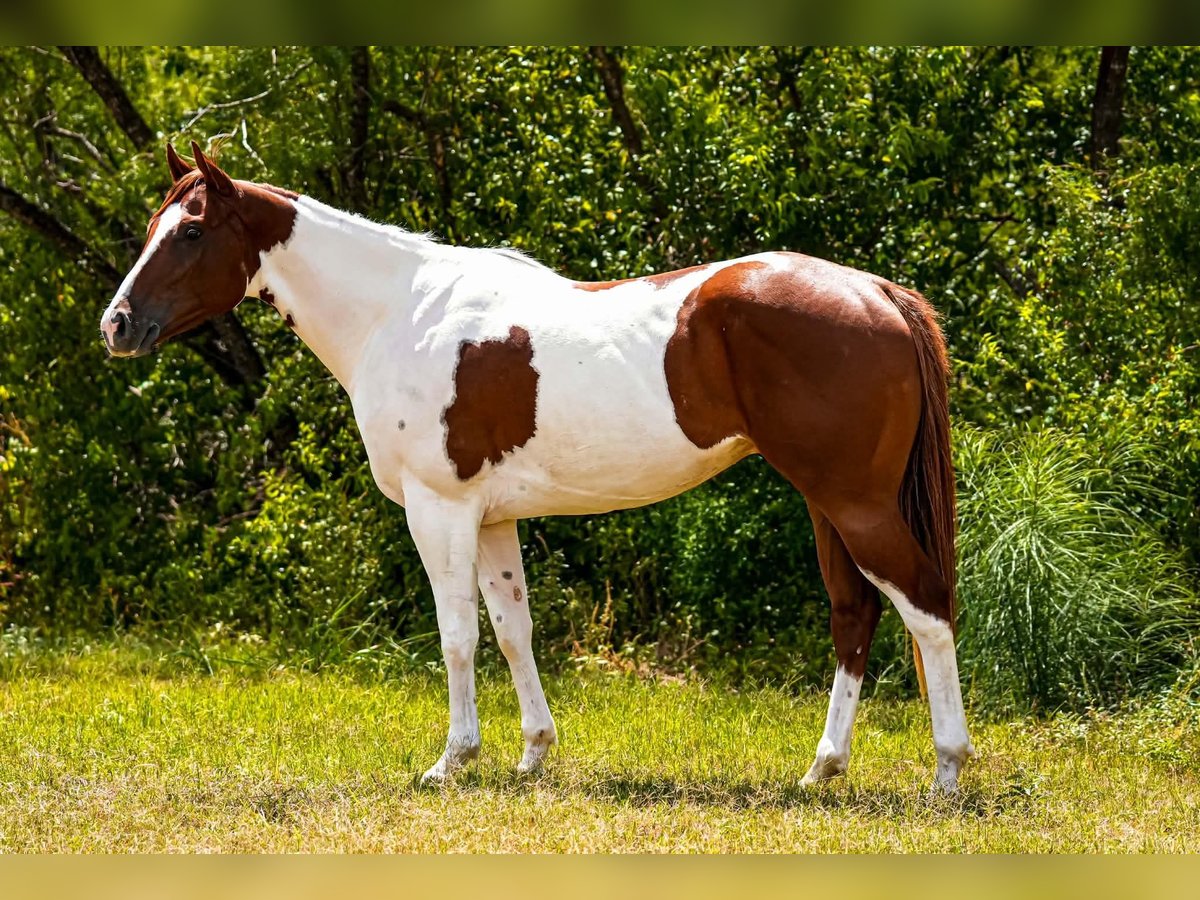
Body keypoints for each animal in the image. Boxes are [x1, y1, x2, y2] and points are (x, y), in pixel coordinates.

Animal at [100, 142, 974, 790]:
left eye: (190, 232)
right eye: (153, 223)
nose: (117, 324)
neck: (399, 312)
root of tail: (875, 292)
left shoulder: (439, 509)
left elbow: (457, 635)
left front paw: (450, 762)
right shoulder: (494, 518)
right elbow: (513, 629)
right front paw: (531, 754)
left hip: (854, 503)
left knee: (926, 607)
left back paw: (947, 771)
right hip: (829, 503)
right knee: (855, 615)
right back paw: (822, 769)